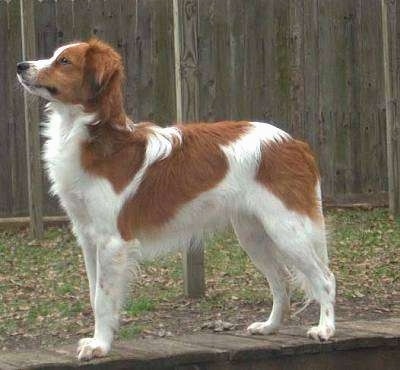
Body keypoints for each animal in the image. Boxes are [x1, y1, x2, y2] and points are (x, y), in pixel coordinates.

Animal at [17, 39, 336, 360]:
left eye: (64, 61)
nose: (20, 66)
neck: (93, 136)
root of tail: (294, 142)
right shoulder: (87, 237)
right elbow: (96, 296)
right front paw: (100, 340)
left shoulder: (112, 241)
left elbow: (105, 299)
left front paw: (100, 345)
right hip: (253, 234)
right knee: (280, 282)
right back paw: (270, 326)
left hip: (287, 230)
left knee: (325, 278)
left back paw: (325, 329)